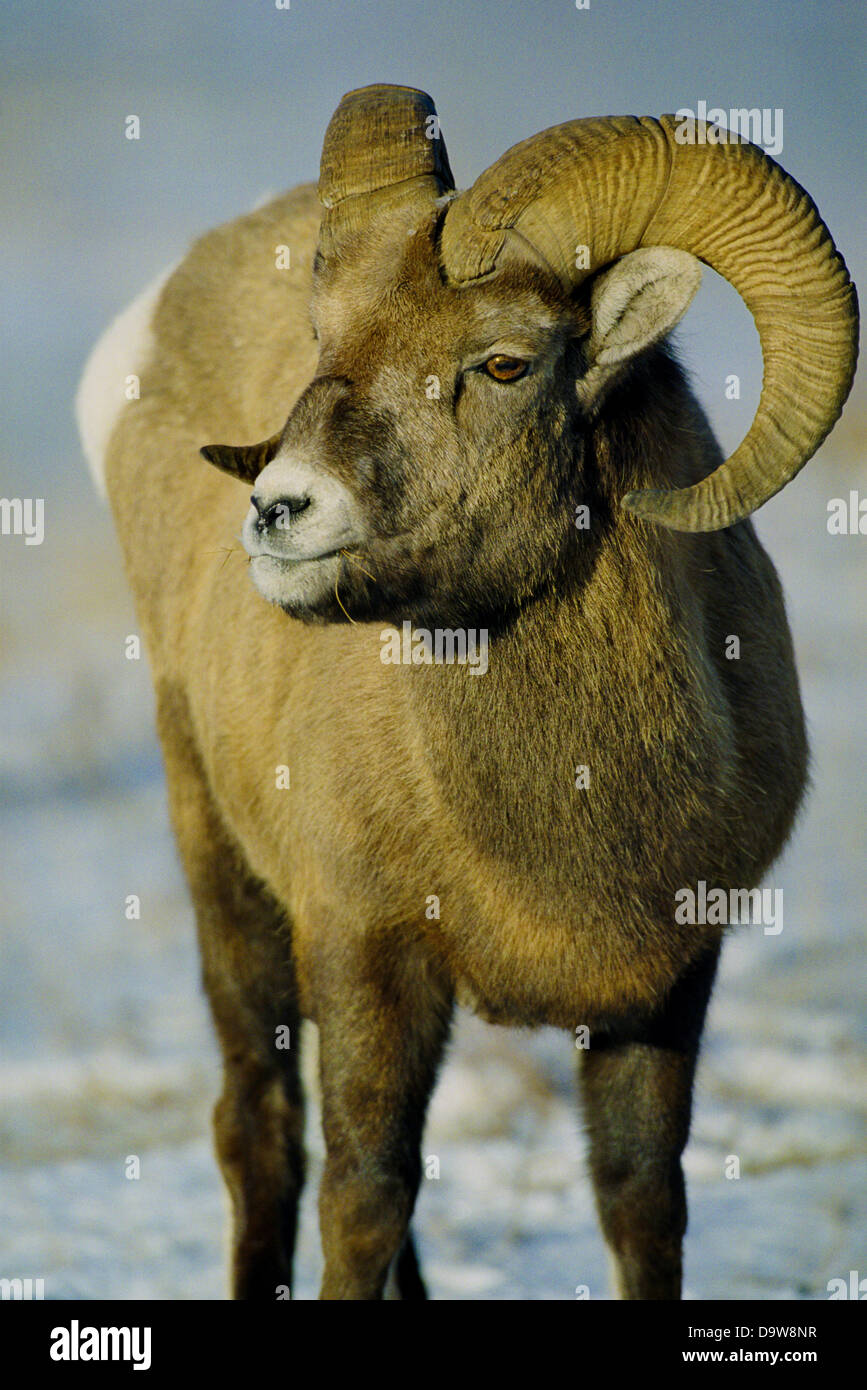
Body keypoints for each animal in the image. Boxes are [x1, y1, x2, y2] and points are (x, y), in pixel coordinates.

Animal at [79, 89, 855, 1301]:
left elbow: (639, 1198)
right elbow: (365, 1194)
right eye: (325, 339)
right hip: (219, 858)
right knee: (259, 1129)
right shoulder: (369, 953)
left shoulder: (667, 987)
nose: (279, 511)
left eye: (503, 363)